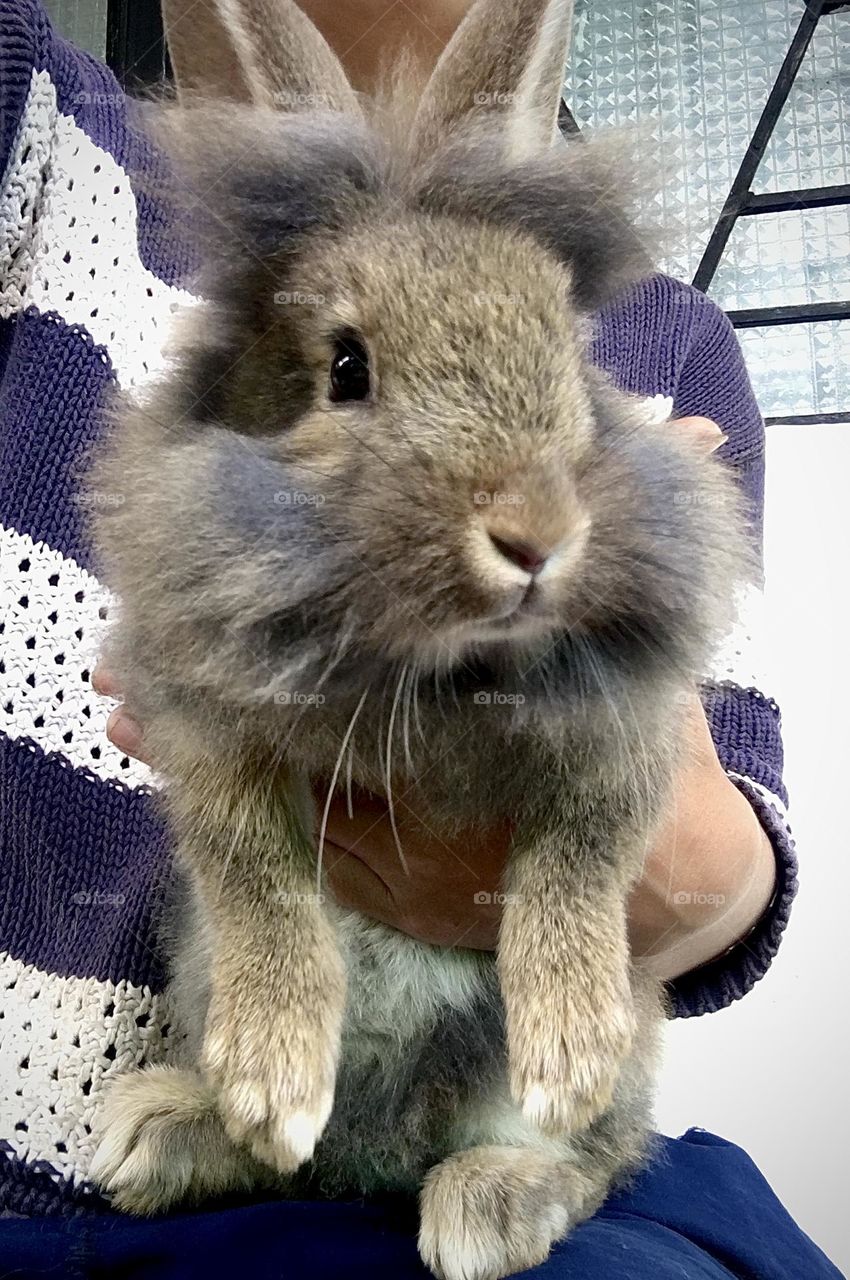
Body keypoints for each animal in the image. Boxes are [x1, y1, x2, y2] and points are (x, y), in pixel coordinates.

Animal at [87, 0, 747, 1276]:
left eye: (568, 356)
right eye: (347, 367)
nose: (535, 537)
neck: (429, 661)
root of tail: (379, 1154)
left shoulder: (621, 739)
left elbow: (577, 861)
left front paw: (571, 1046)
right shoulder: (209, 735)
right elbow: (254, 876)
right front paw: (270, 1075)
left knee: (590, 1164)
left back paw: (486, 1201)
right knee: (283, 1159)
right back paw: (166, 1130)